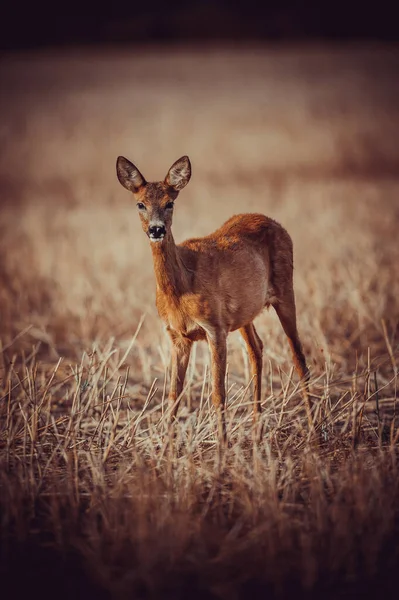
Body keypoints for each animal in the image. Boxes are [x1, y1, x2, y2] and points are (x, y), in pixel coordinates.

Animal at [116, 155, 312, 440]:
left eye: (169, 203)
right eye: (140, 204)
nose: (156, 229)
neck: (182, 287)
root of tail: (274, 222)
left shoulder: (215, 328)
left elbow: (218, 395)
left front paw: (222, 446)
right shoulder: (177, 336)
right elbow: (173, 395)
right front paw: (167, 447)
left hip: (286, 289)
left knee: (298, 356)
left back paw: (315, 428)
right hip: (244, 313)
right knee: (257, 349)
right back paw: (257, 431)